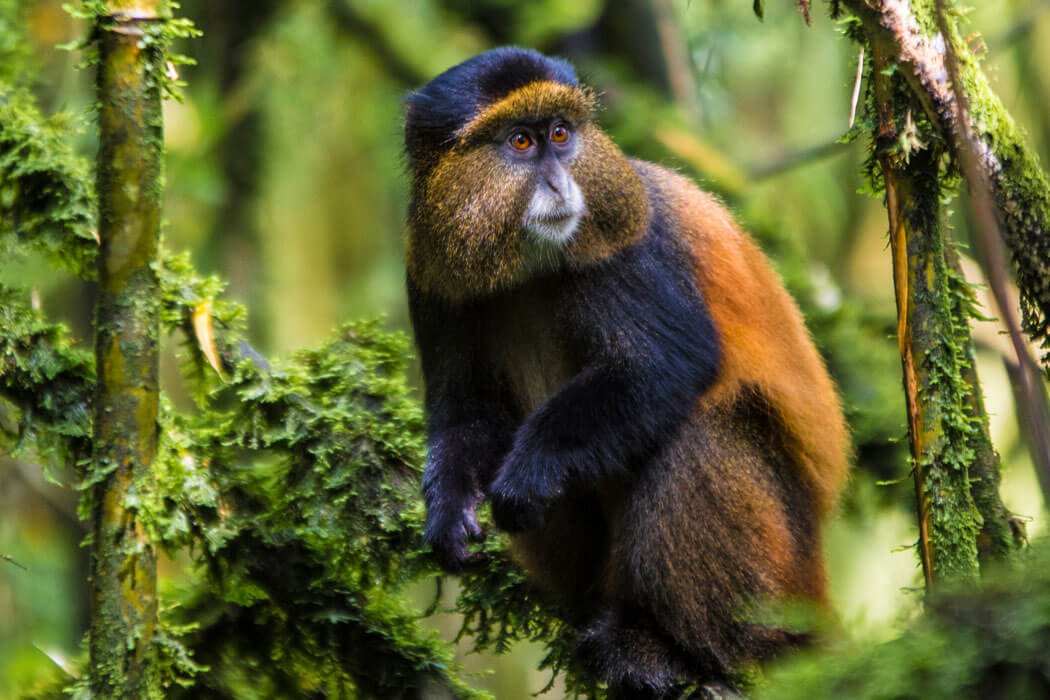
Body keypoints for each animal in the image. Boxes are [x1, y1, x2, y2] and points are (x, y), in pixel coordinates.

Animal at [403, 47, 849, 696]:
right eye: (520, 141)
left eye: (561, 134)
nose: (560, 182)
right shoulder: (431, 275)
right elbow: (467, 411)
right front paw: (449, 507)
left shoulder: (624, 249)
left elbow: (666, 365)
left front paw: (531, 470)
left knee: (697, 433)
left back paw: (682, 651)